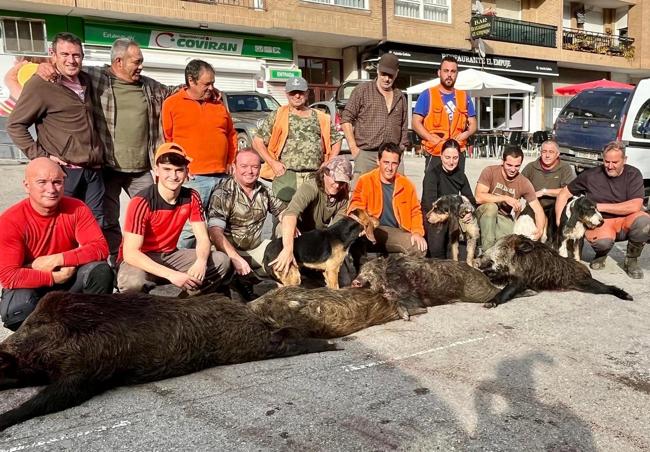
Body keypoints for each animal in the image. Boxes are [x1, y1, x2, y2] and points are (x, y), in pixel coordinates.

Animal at [0, 290, 336, 430]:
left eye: (39, 326)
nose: (7, 352)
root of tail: (243, 308)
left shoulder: (82, 374)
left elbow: (39, 402)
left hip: (245, 343)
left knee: (283, 341)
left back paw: (331, 346)